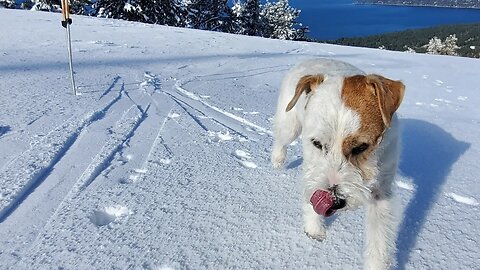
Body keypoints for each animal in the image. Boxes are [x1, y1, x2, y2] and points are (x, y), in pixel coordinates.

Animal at [270, 58, 404, 268]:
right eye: (317, 143)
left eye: (360, 147)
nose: (335, 201)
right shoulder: (313, 166)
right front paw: (314, 230)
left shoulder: (382, 192)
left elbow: (379, 241)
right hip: (289, 124)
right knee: (280, 139)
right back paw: (277, 161)